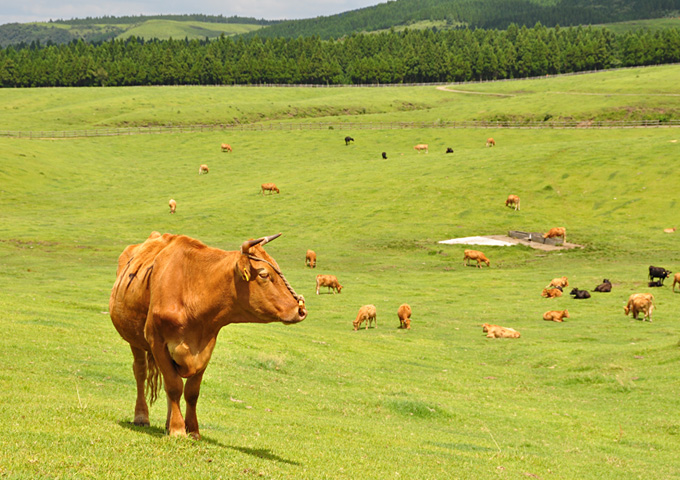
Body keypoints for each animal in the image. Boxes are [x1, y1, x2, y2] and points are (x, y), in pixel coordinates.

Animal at [109, 232, 306, 438]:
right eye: (264, 274)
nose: (300, 309)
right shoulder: (157, 341)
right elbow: (174, 386)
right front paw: (178, 429)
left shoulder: (206, 346)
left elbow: (191, 391)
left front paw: (192, 430)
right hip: (135, 340)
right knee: (140, 372)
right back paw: (142, 417)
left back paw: (167, 423)